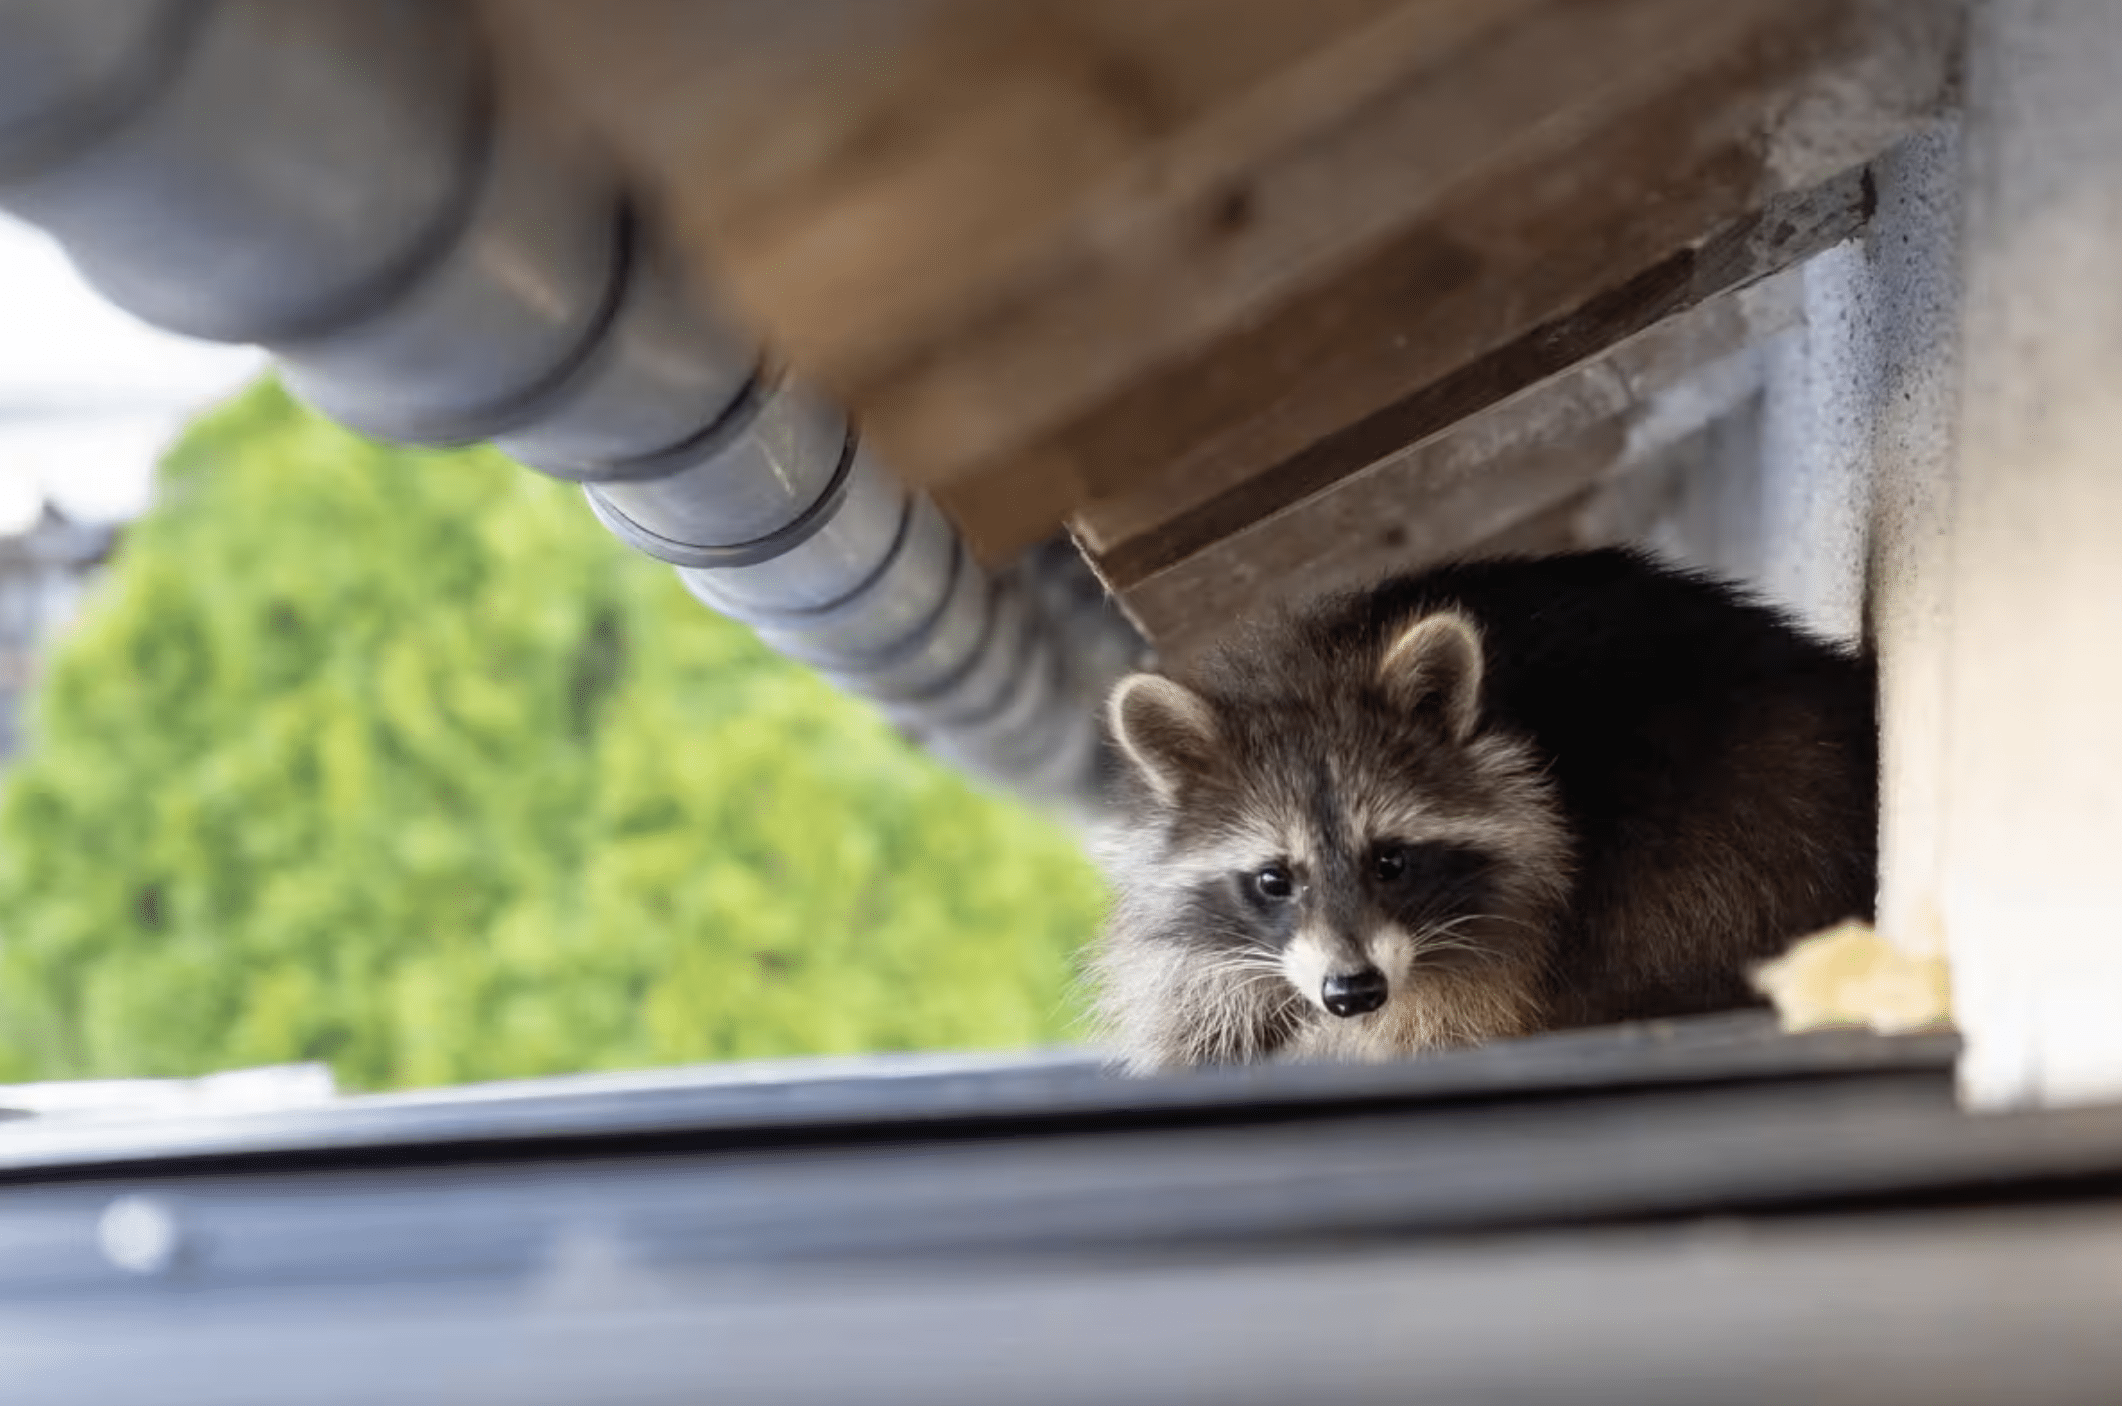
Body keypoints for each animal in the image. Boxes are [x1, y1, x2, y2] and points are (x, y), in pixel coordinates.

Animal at [1094, 542, 1875, 1073]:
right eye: (1273, 879)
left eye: (1392, 861)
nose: (1353, 991)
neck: (1314, 671)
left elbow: (1456, 1018)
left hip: (1747, 822)